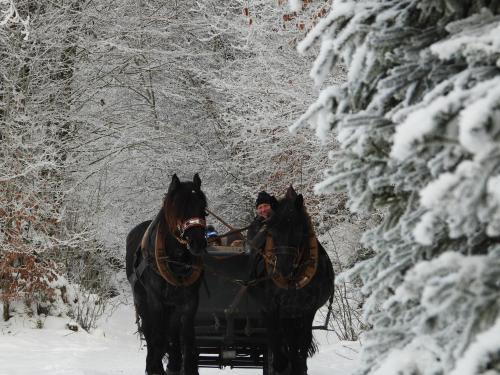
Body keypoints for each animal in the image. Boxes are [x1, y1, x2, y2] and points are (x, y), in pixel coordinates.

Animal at [127, 175, 209, 375]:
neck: (176, 259)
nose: (198, 243)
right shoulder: (155, 300)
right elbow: (156, 336)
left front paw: (187, 368)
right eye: (179, 206)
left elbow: (186, 338)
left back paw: (173, 364)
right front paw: (155, 368)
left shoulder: (189, 301)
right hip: (142, 299)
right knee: (150, 331)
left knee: (171, 332)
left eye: (203, 207)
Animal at [252, 187, 334, 375]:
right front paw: (281, 366)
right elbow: (276, 345)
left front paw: (298, 367)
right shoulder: (270, 309)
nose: (283, 269)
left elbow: (301, 346)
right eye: (272, 231)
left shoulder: (307, 309)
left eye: (298, 231)